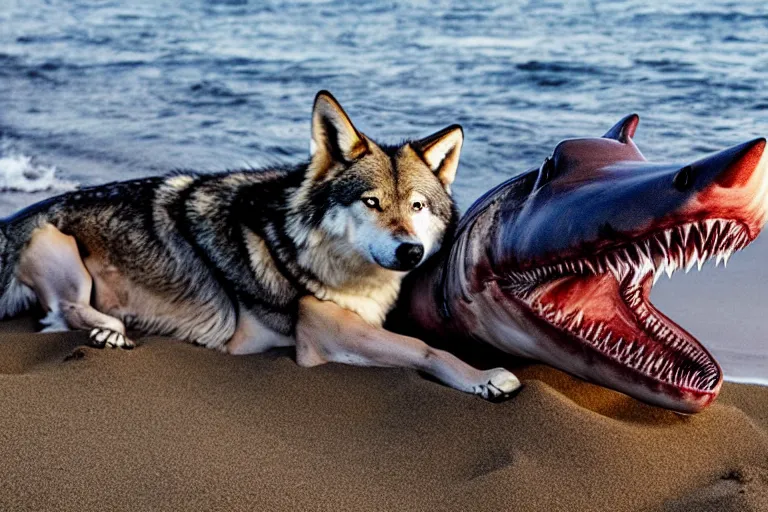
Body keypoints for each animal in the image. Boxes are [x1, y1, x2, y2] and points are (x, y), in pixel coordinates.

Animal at [0, 94, 520, 402]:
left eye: (417, 206)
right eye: (371, 202)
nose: (411, 251)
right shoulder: (323, 336)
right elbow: (423, 348)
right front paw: (486, 376)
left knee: (54, 318)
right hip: (56, 240)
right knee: (66, 309)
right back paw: (110, 332)